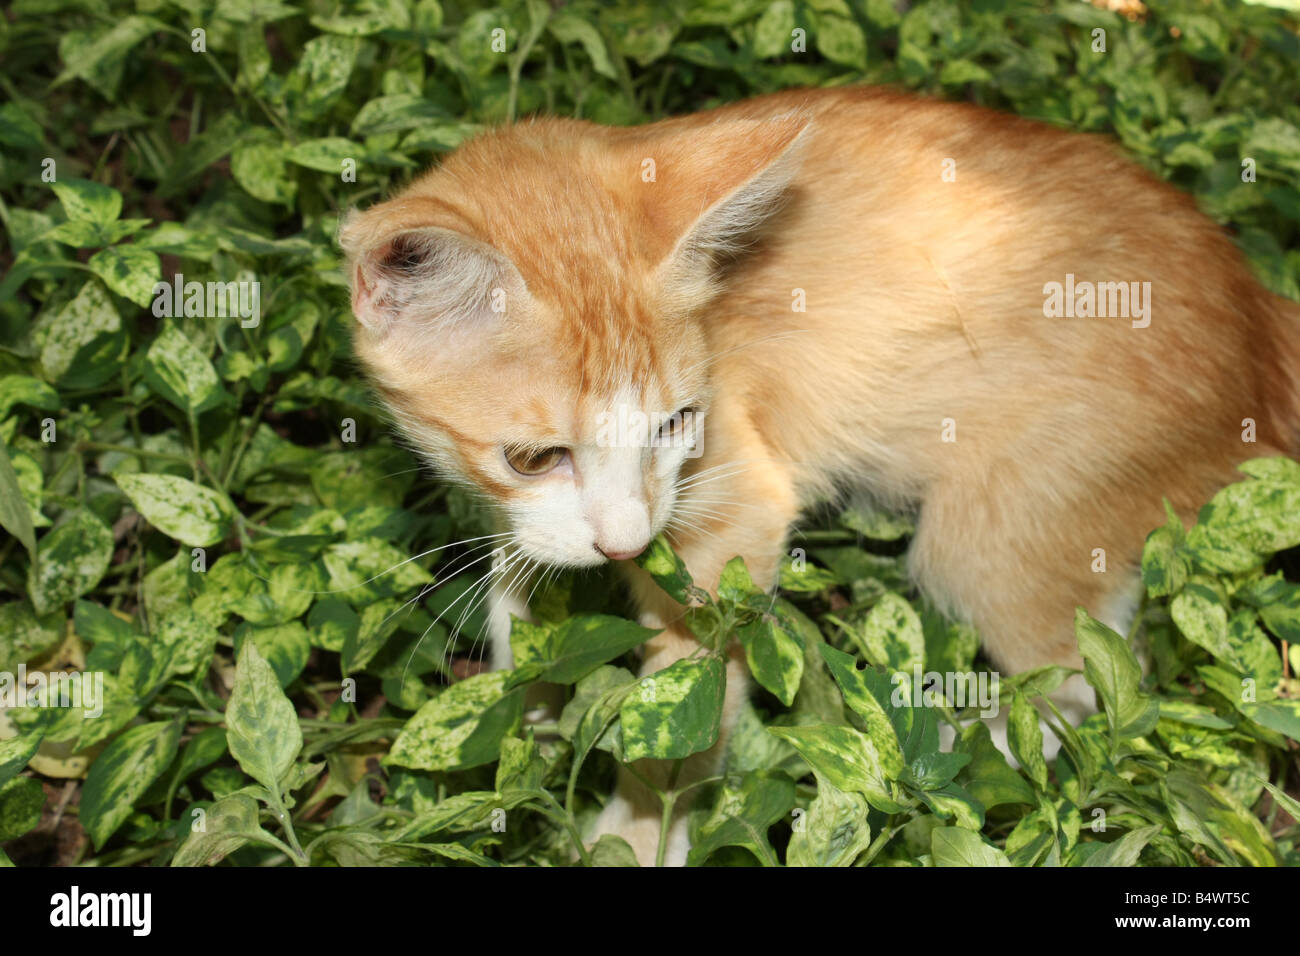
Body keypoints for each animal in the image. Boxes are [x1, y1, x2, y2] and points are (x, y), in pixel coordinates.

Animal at [338, 87, 1300, 868]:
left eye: (677, 423)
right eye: (534, 457)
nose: (629, 543)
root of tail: (1259, 316)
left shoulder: (735, 515)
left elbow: (682, 703)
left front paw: (643, 826)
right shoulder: (530, 517)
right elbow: (518, 595)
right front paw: (522, 717)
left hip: (986, 535)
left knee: (1087, 676)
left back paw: (949, 752)